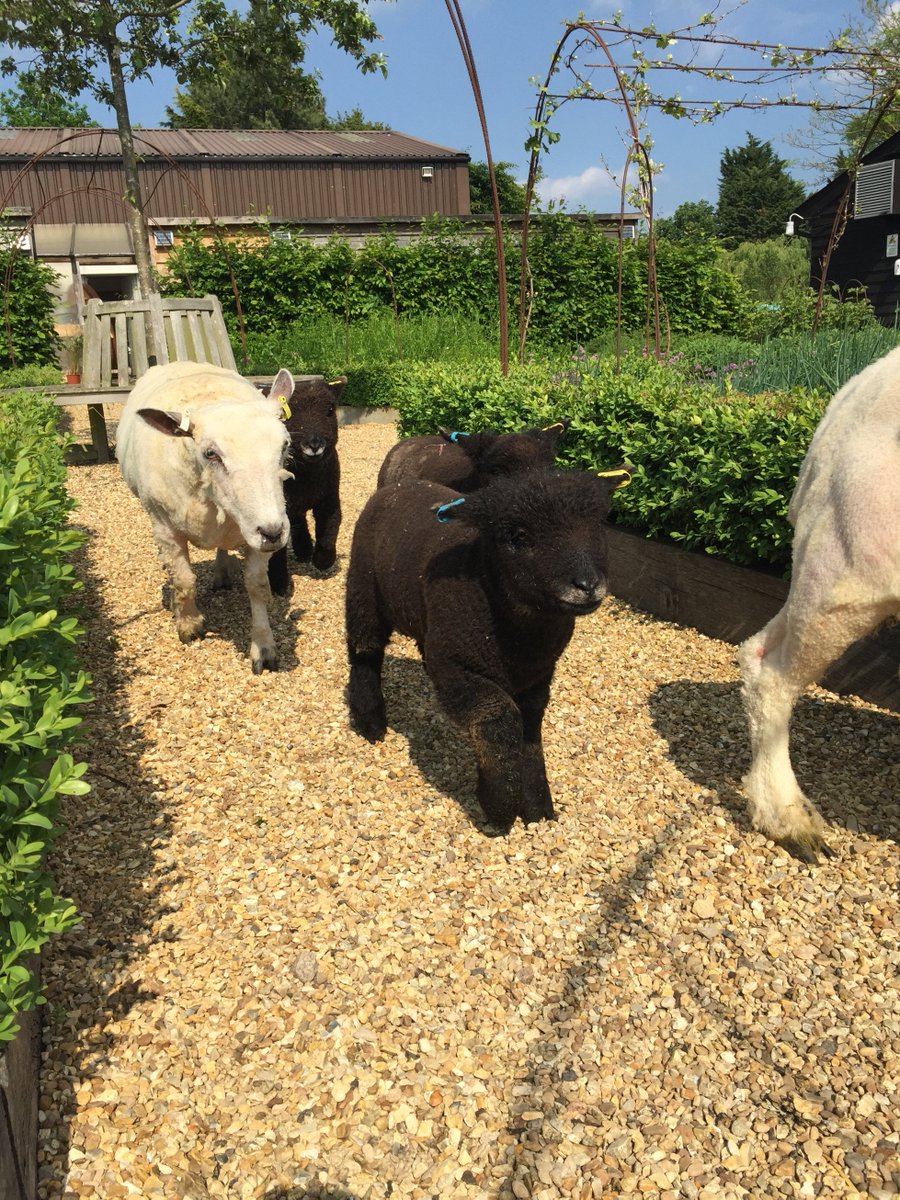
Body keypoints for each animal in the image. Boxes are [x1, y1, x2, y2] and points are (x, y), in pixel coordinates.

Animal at [116, 360, 295, 674]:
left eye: (285, 445)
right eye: (211, 453)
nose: (274, 533)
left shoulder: (257, 528)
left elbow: (257, 586)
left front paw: (263, 647)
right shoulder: (164, 527)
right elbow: (184, 579)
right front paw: (189, 625)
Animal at [267, 375, 347, 597]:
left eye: (330, 410)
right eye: (288, 413)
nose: (314, 444)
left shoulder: (329, 499)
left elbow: (330, 528)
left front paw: (322, 561)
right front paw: (279, 585)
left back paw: (304, 550)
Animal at [345, 465, 631, 833]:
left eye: (598, 526)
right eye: (518, 537)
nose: (587, 585)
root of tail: (398, 485)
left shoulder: (539, 675)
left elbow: (529, 731)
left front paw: (537, 807)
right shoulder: (458, 669)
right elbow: (502, 719)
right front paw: (497, 804)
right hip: (363, 589)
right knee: (364, 651)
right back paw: (371, 722)